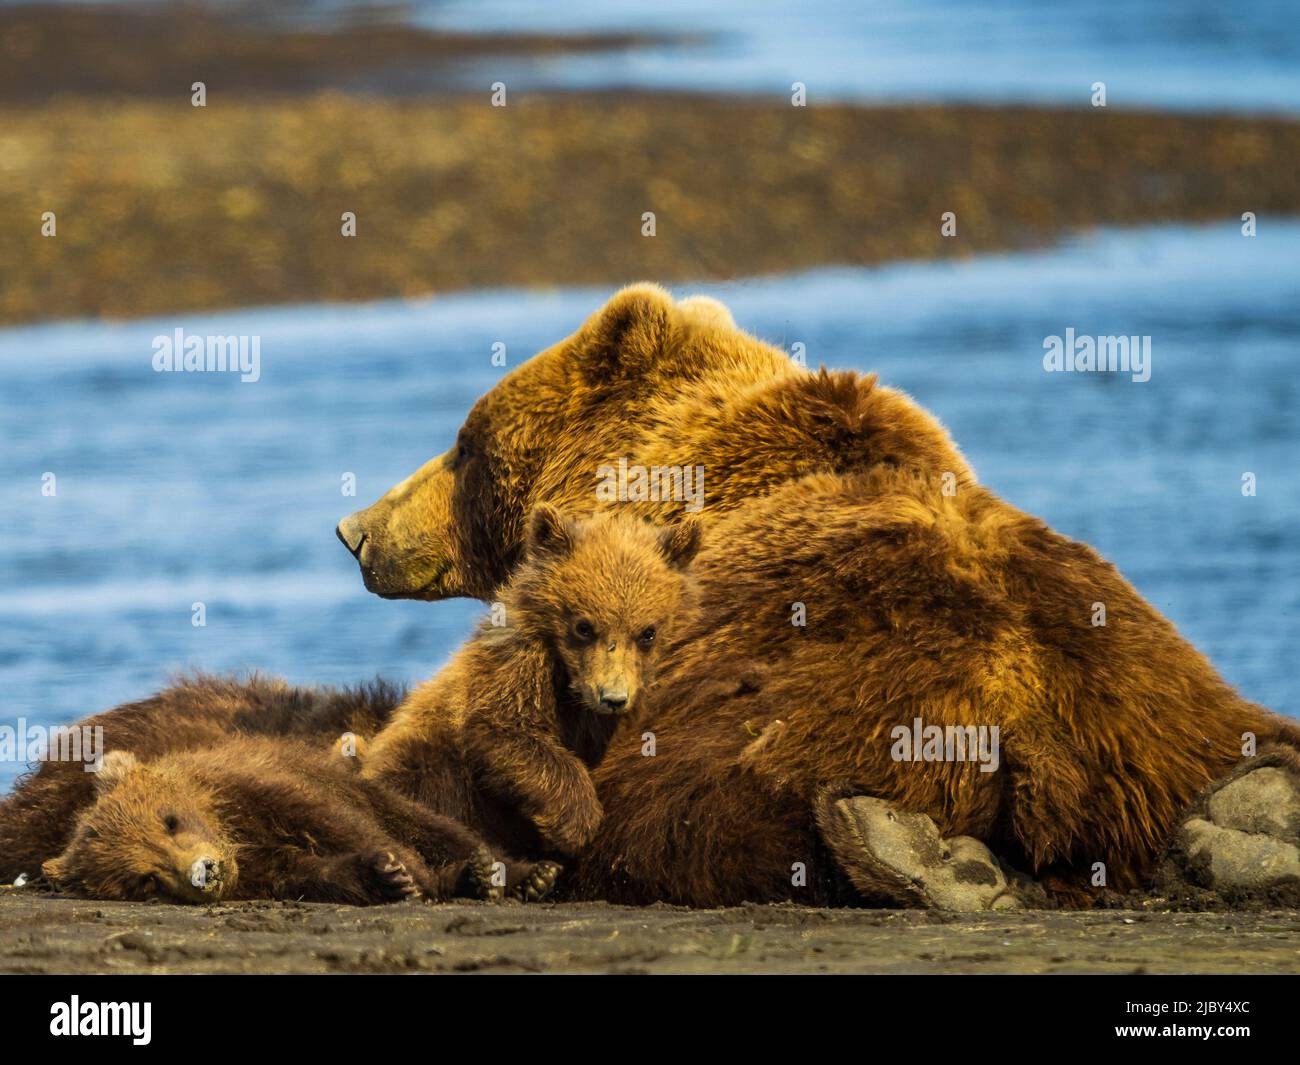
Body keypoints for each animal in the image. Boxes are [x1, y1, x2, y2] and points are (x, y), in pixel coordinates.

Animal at [41, 737, 561, 905]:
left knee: (436, 828)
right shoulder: (263, 871)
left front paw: (408, 872)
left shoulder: (259, 789)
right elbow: (314, 874)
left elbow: (336, 822)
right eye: (146, 880)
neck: (235, 837)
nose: (205, 872)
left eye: (169, 821)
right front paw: (388, 876)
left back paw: (520, 874)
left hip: (372, 790)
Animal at [360, 503, 701, 864]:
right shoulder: (517, 665)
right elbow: (504, 728)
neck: (569, 684)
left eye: (648, 632)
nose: (612, 697)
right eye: (583, 626)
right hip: (424, 761)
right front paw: (576, 822)